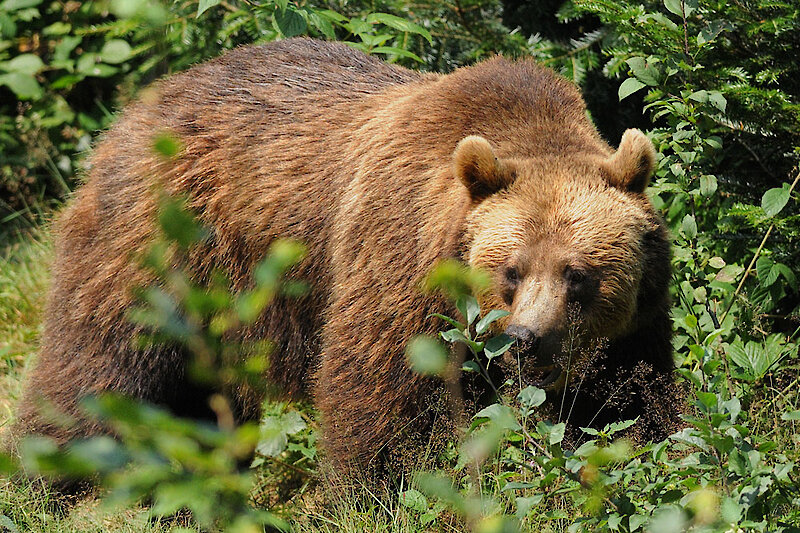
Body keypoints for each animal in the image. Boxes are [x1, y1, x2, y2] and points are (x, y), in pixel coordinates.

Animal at [9, 36, 680, 470]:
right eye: (510, 271)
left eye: (579, 274)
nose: (525, 338)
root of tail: (140, 104)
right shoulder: (397, 256)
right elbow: (380, 395)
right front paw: (373, 488)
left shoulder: (636, 321)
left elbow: (631, 400)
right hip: (158, 240)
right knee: (98, 364)